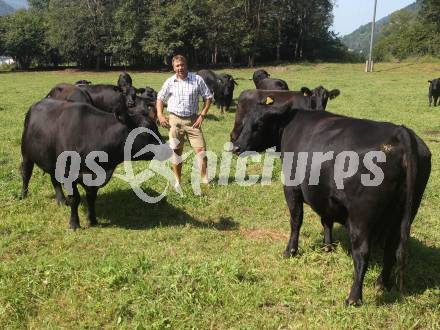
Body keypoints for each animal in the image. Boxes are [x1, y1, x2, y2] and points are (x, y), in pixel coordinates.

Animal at [20, 99, 169, 231]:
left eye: (156, 128)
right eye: (144, 132)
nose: (168, 149)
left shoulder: (94, 177)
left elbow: (91, 198)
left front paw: (92, 219)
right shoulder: (69, 174)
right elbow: (75, 199)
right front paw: (74, 224)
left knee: (54, 180)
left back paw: (61, 200)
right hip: (26, 154)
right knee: (26, 174)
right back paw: (23, 195)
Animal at [235, 104, 432, 306]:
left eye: (258, 124)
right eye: (244, 121)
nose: (236, 146)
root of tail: (401, 132)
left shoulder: (291, 187)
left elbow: (296, 221)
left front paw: (290, 251)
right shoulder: (324, 197)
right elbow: (326, 220)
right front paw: (327, 246)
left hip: (361, 217)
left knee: (362, 253)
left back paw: (353, 298)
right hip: (402, 214)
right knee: (391, 248)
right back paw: (381, 283)